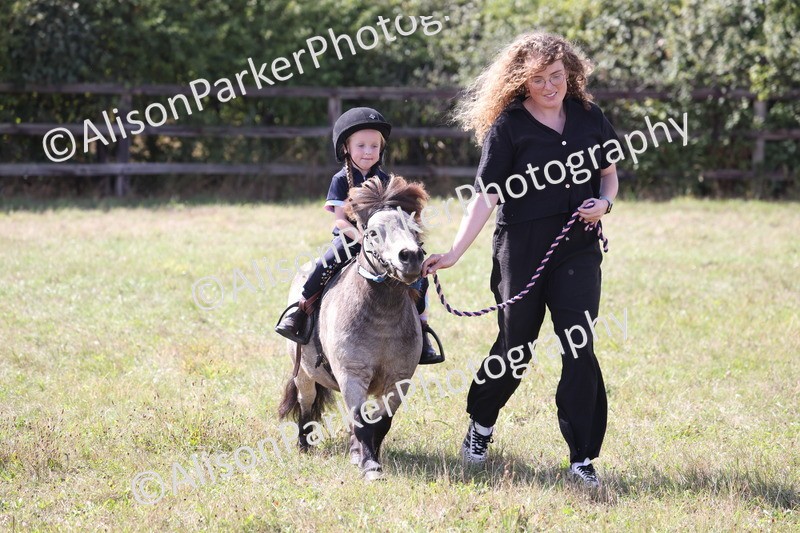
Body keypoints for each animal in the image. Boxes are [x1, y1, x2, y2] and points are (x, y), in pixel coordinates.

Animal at [278, 175, 429, 480]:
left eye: (414, 229)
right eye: (373, 233)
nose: (410, 256)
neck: (382, 320)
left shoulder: (398, 381)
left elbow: (380, 423)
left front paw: (369, 457)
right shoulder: (352, 375)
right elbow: (359, 420)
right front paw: (370, 467)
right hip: (304, 376)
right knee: (306, 404)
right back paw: (304, 445)